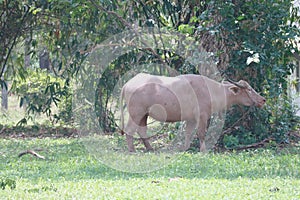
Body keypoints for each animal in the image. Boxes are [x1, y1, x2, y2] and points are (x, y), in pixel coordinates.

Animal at [119, 72, 264, 152]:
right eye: (249, 89)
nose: (263, 99)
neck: (212, 90)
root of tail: (127, 84)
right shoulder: (202, 116)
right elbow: (201, 133)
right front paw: (203, 150)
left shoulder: (191, 119)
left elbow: (189, 133)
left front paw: (185, 148)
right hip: (136, 113)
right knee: (130, 129)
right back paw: (132, 150)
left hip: (144, 114)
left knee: (141, 130)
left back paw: (150, 148)